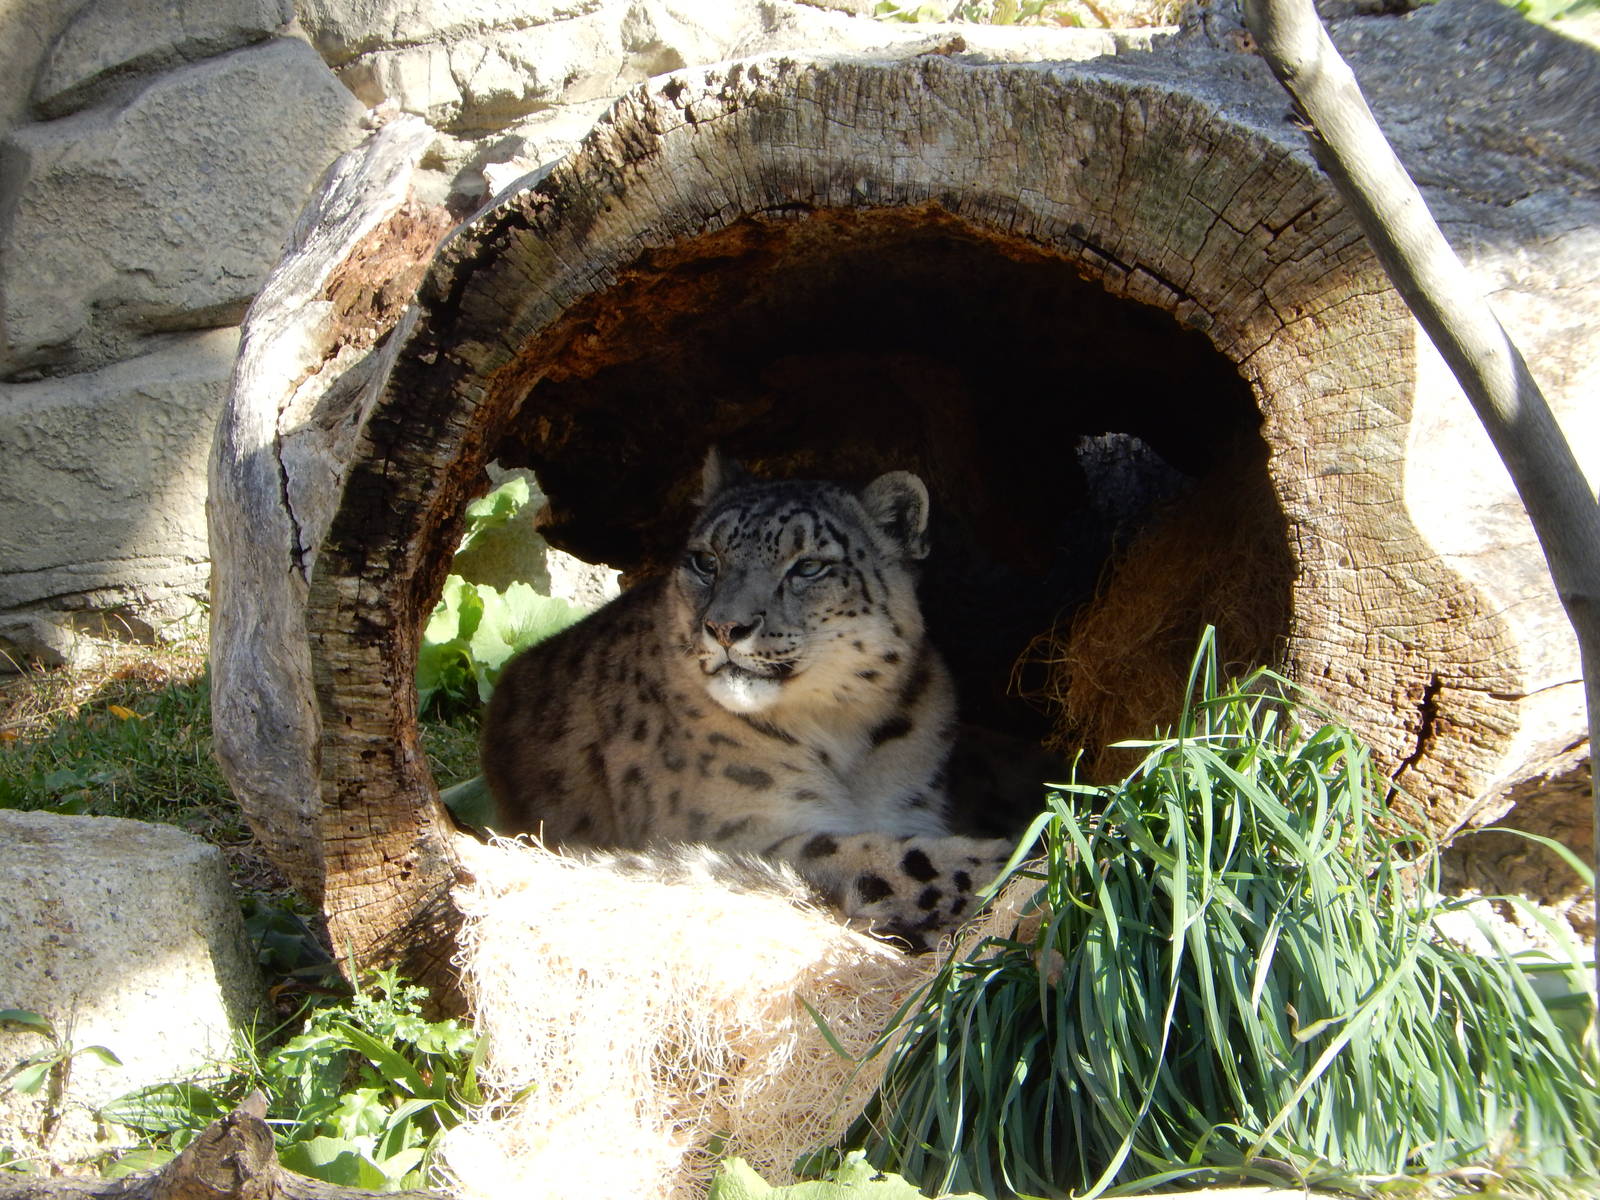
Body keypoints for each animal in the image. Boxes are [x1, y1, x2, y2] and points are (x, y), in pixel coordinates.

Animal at [479, 451, 1017, 948]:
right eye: (706, 561)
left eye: (809, 566)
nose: (724, 627)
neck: (841, 734)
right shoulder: (743, 830)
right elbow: (900, 862)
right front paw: (1010, 858)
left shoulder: (908, 806)